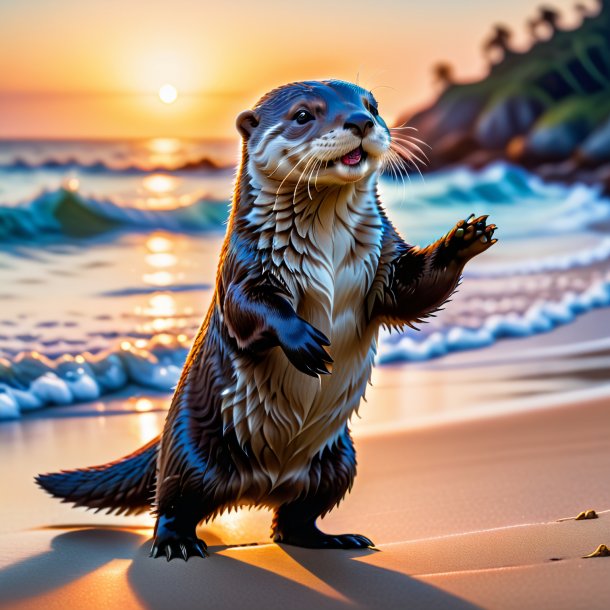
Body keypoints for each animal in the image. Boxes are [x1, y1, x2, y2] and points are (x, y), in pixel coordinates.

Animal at [35, 81, 494, 560]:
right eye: (303, 115)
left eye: (371, 106)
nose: (361, 121)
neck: (328, 253)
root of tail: (261, 485)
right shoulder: (242, 267)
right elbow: (251, 310)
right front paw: (305, 343)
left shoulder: (385, 260)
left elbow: (412, 293)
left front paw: (464, 239)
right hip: (189, 452)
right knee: (172, 501)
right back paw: (177, 542)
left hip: (338, 461)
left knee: (294, 519)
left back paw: (333, 538)